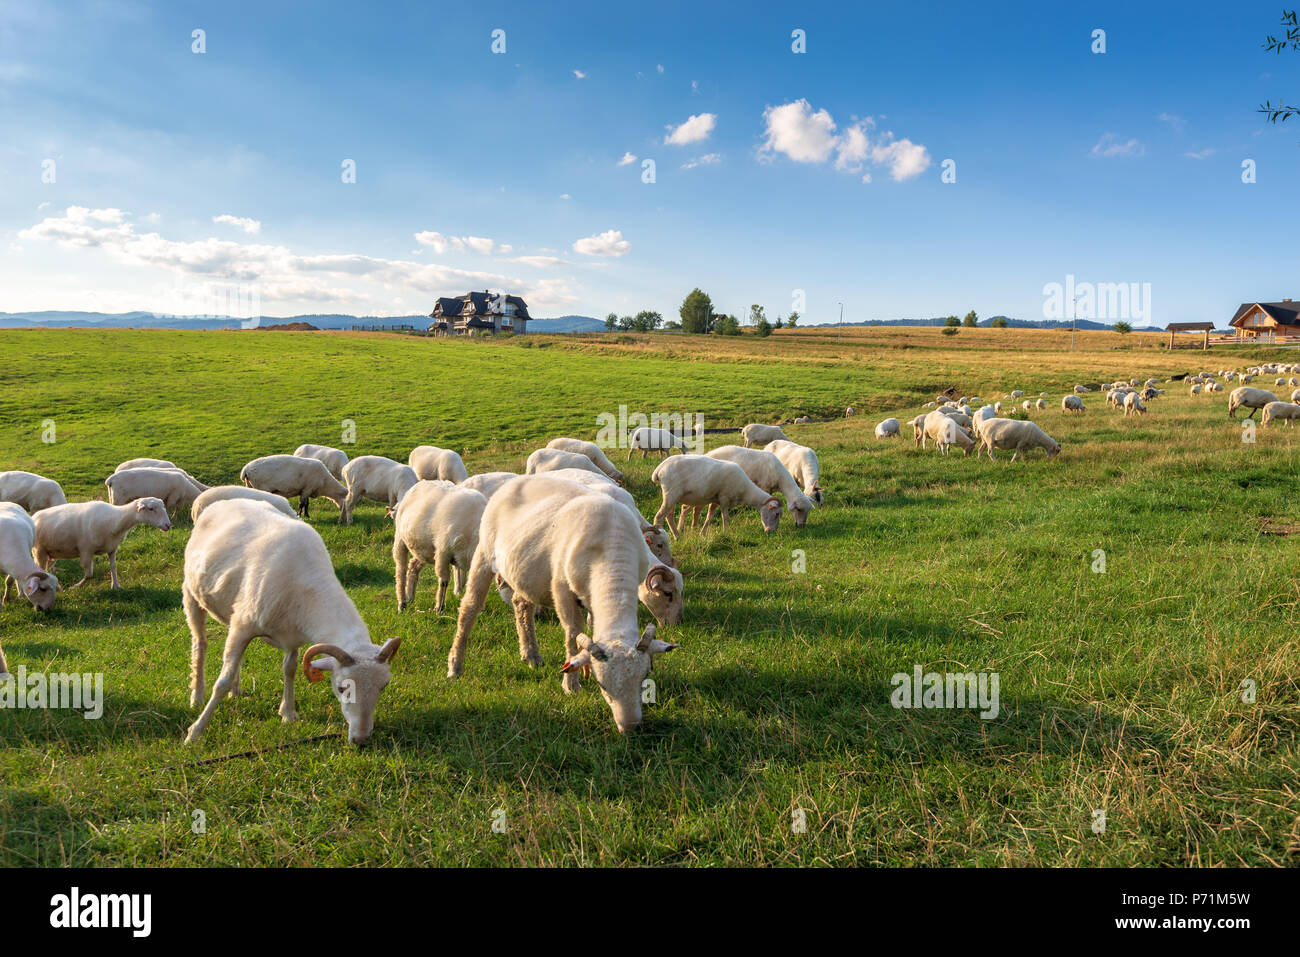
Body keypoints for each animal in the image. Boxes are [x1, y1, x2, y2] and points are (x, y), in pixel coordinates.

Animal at [33, 498, 171, 588]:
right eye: (151, 509)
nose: (168, 525)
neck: (115, 520)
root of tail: (34, 517)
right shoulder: (86, 550)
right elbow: (89, 575)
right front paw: (76, 586)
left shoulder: (112, 548)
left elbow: (113, 567)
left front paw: (116, 586)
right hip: (39, 551)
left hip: (50, 554)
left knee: (44, 569)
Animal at [182, 499, 402, 745]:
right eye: (341, 688)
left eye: (383, 686)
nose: (361, 739)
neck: (310, 587)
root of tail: (223, 501)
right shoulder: (244, 626)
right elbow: (222, 681)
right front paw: (196, 731)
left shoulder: (292, 635)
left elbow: (290, 669)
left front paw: (288, 713)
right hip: (191, 592)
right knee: (200, 643)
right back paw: (197, 696)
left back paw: (236, 690)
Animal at [392, 481, 488, 612]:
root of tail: (419, 484)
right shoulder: (443, 551)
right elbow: (444, 581)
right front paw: (439, 608)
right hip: (400, 540)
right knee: (400, 570)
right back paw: (402, 603)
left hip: (425, 549)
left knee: (413, 566)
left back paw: (410, 596)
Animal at [448, 478, 681, 731]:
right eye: (603, 686)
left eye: (644, 677)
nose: (630, 727)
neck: (612, 551)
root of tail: (514, 481)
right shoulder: (561, 588)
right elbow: (572, 633)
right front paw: (571, 685)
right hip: (484, 553)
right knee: (469, 608)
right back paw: (455, 666)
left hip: (525, 570)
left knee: (521, 604)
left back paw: (531, 655)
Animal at [651, 454, 781, 537]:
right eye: (776, 514)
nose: (772, 532)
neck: (746, 490)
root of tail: (659, 470)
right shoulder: (724, 498)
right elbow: (725, 516)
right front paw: (725, 532)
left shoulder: (715, 500)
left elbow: (709, 517)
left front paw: (702, 533)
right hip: (671, 493)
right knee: (659, 517)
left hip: (672, 495)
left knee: (669, 516)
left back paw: (677, 536)